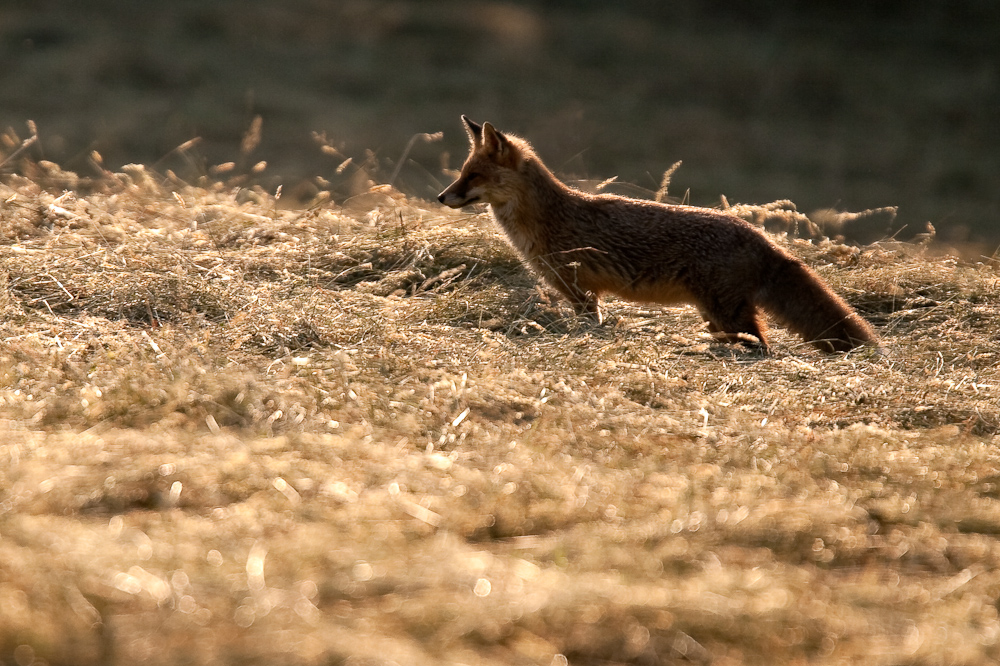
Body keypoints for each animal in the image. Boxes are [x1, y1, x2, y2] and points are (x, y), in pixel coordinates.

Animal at [438, 115, 876, 352]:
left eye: (473, 176)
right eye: (462, 173)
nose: (442, 197)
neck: (549, 219)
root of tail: (759, 236)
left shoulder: (580, 289)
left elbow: (590, 322)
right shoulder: (579, 291)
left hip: (727, 314)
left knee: (761, 345)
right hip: (715, 315)